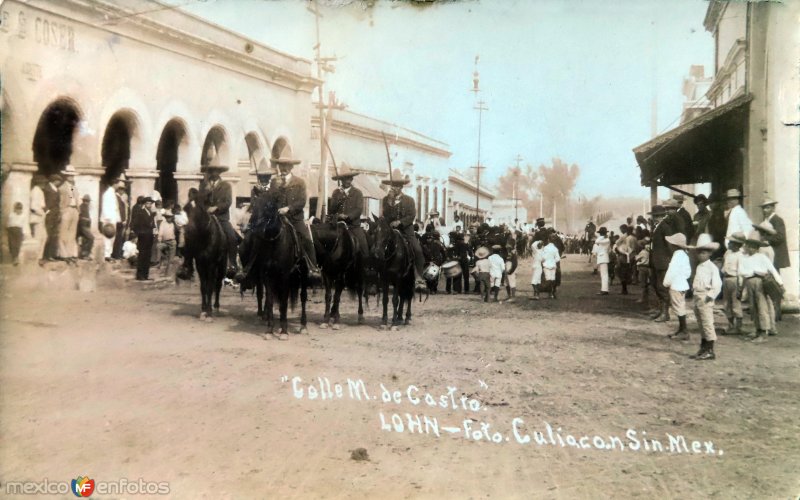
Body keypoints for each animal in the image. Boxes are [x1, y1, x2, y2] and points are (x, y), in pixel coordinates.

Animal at [250, 197, 310, 342]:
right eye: (252, 208)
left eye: (267, 209)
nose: (251, 229)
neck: (274, 243)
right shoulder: (267, 276)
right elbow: (271, 301)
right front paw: (270, 330)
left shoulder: (285, 276)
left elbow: (283, 302)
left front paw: (284, 331)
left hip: (304, 275)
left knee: (303, 297)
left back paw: (303, 326)